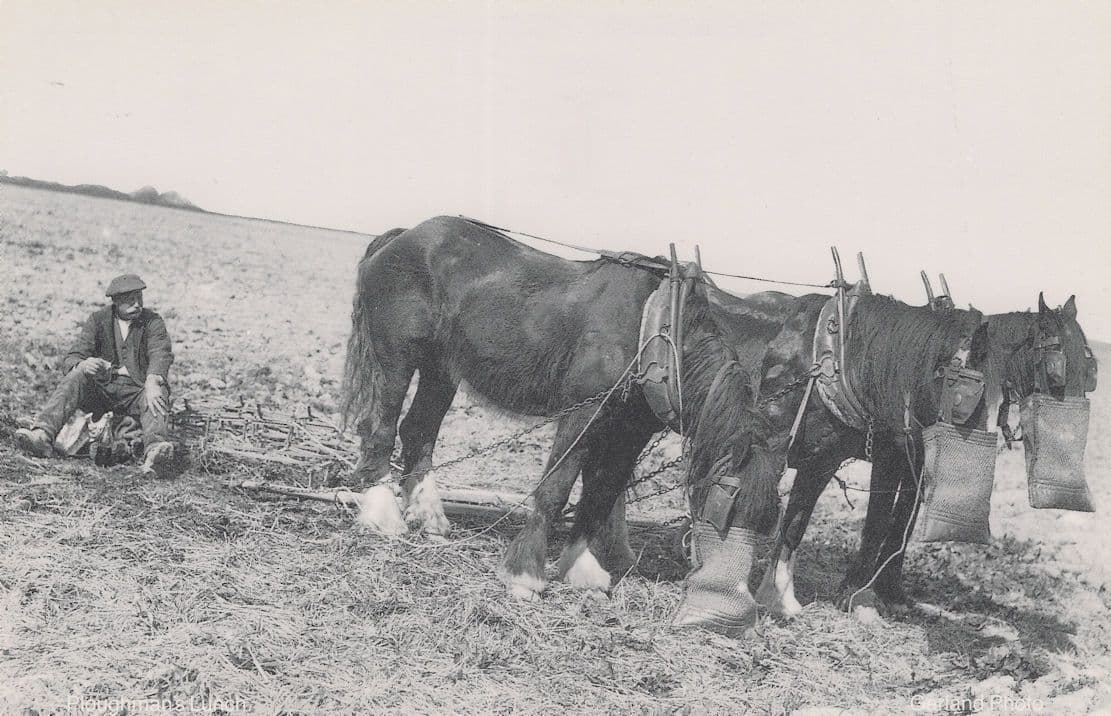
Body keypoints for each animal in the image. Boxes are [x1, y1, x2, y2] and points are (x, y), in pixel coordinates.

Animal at [340, 216, 776, 600]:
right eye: (730, 504)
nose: (730, 594)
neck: (655, 330)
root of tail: (403, 236)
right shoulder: (583, 413)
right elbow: (556, 488)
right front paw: (525, 575)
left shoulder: (629, 432)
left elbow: (600, 496)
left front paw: (584, 570)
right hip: (396, 359)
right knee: (381, 428)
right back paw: (383, 515)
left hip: (441, 368)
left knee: (419, 431)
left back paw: (430, 518)